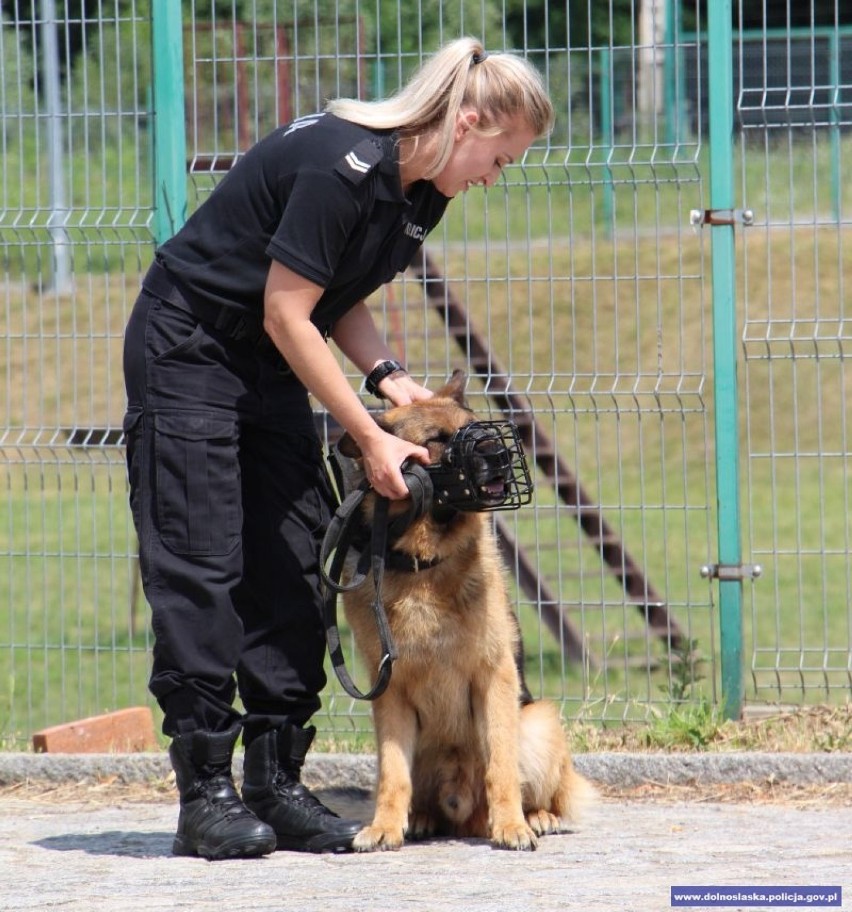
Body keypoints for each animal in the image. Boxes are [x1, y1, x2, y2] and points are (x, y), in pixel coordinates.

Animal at [332, 372, 592, 856]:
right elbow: (392, 775)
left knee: (541, 788)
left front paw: (511, 826)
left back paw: (535, 817)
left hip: (539, 721)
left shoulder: (494, 676)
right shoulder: (389, 692)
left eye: (474, 428)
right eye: (436, 439)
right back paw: (420, 818)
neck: (423, 564)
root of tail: (463, 816)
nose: (501, 455)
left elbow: (501, 767)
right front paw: (384, 826)